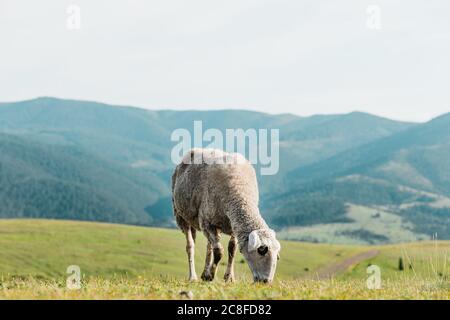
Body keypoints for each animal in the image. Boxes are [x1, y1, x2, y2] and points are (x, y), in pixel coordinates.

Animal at [173, 148, 282, 282]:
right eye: (262, 250)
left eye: (277, 256)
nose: (266, 282)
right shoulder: (207, 223)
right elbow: (219, 252)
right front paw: (211, 275)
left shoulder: (233, 225)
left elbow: (232, 249)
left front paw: (228, 277)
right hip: (181, 215)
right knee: (190, 246)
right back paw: (193, 277)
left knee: (209, 245)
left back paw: (204, 273)